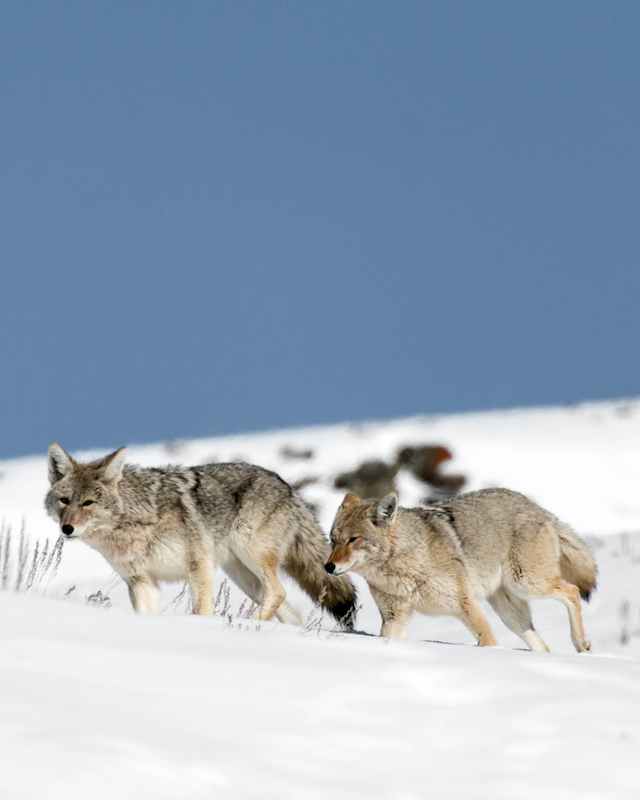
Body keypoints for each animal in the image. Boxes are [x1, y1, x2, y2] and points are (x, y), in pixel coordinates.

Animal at [45, 443, 356, 627]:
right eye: (64, 501)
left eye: (88, 503)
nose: (67, 529)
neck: (135, 522)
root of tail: (289, 488)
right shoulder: (141, 581)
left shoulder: (199, 565)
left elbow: (200, 612)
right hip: (244, 578)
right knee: (292, 612)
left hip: (250, 555)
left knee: (278, 592)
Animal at [325, 488, 596, 652]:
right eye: (333, 540)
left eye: (353, 540)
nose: (328, 566)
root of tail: (541, 510)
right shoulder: (394, 618)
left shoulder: (466, 605)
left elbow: (488, 642)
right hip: (509, 611)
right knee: (543, 646)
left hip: (527, 584)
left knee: (572, 591)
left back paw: (581, 643)